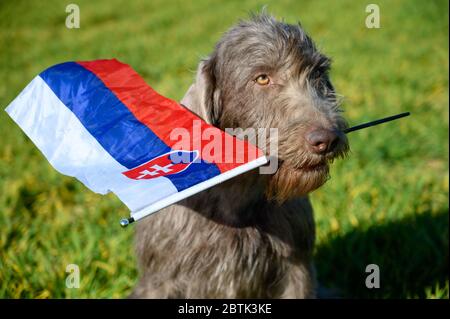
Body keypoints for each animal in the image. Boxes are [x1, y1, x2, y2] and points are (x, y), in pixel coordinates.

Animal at [130, 11, 348, 298]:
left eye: (318, 73)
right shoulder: (160, 281)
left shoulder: (297, 270)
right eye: (262, 78)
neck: (237, 200)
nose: (327, 139)